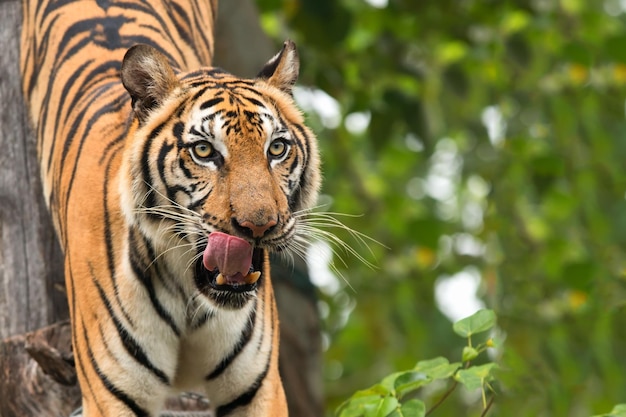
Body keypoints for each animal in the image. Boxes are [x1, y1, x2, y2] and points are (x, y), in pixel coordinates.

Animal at [20, 0, 322, 416]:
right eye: (204, 151)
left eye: (276, 148)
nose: (260, 226)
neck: (188, 293)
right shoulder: (110, 394)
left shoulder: (258, 389)